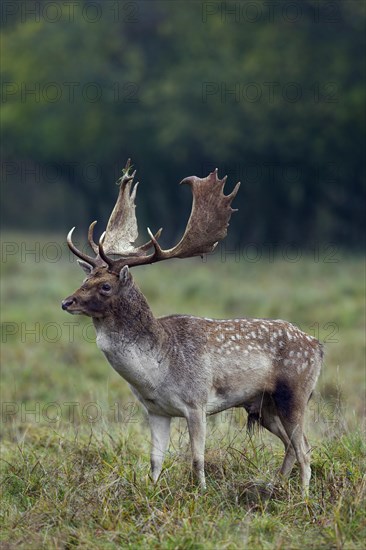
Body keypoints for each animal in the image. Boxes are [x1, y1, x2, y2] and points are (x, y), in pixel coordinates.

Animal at [63, 162, 324, 494]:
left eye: (105, 286)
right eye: (85, 279)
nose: (66, 302)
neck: (156, 372)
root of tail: (318, 346)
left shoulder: (197, 402)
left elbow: (197, 458)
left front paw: (200, 493)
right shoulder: (156, 411)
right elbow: (155, 461)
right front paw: (151, 493)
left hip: (296, 393)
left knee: (304, 448)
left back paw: (302, 497)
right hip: (264, 406)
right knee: (295, 445)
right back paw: (275, 487)